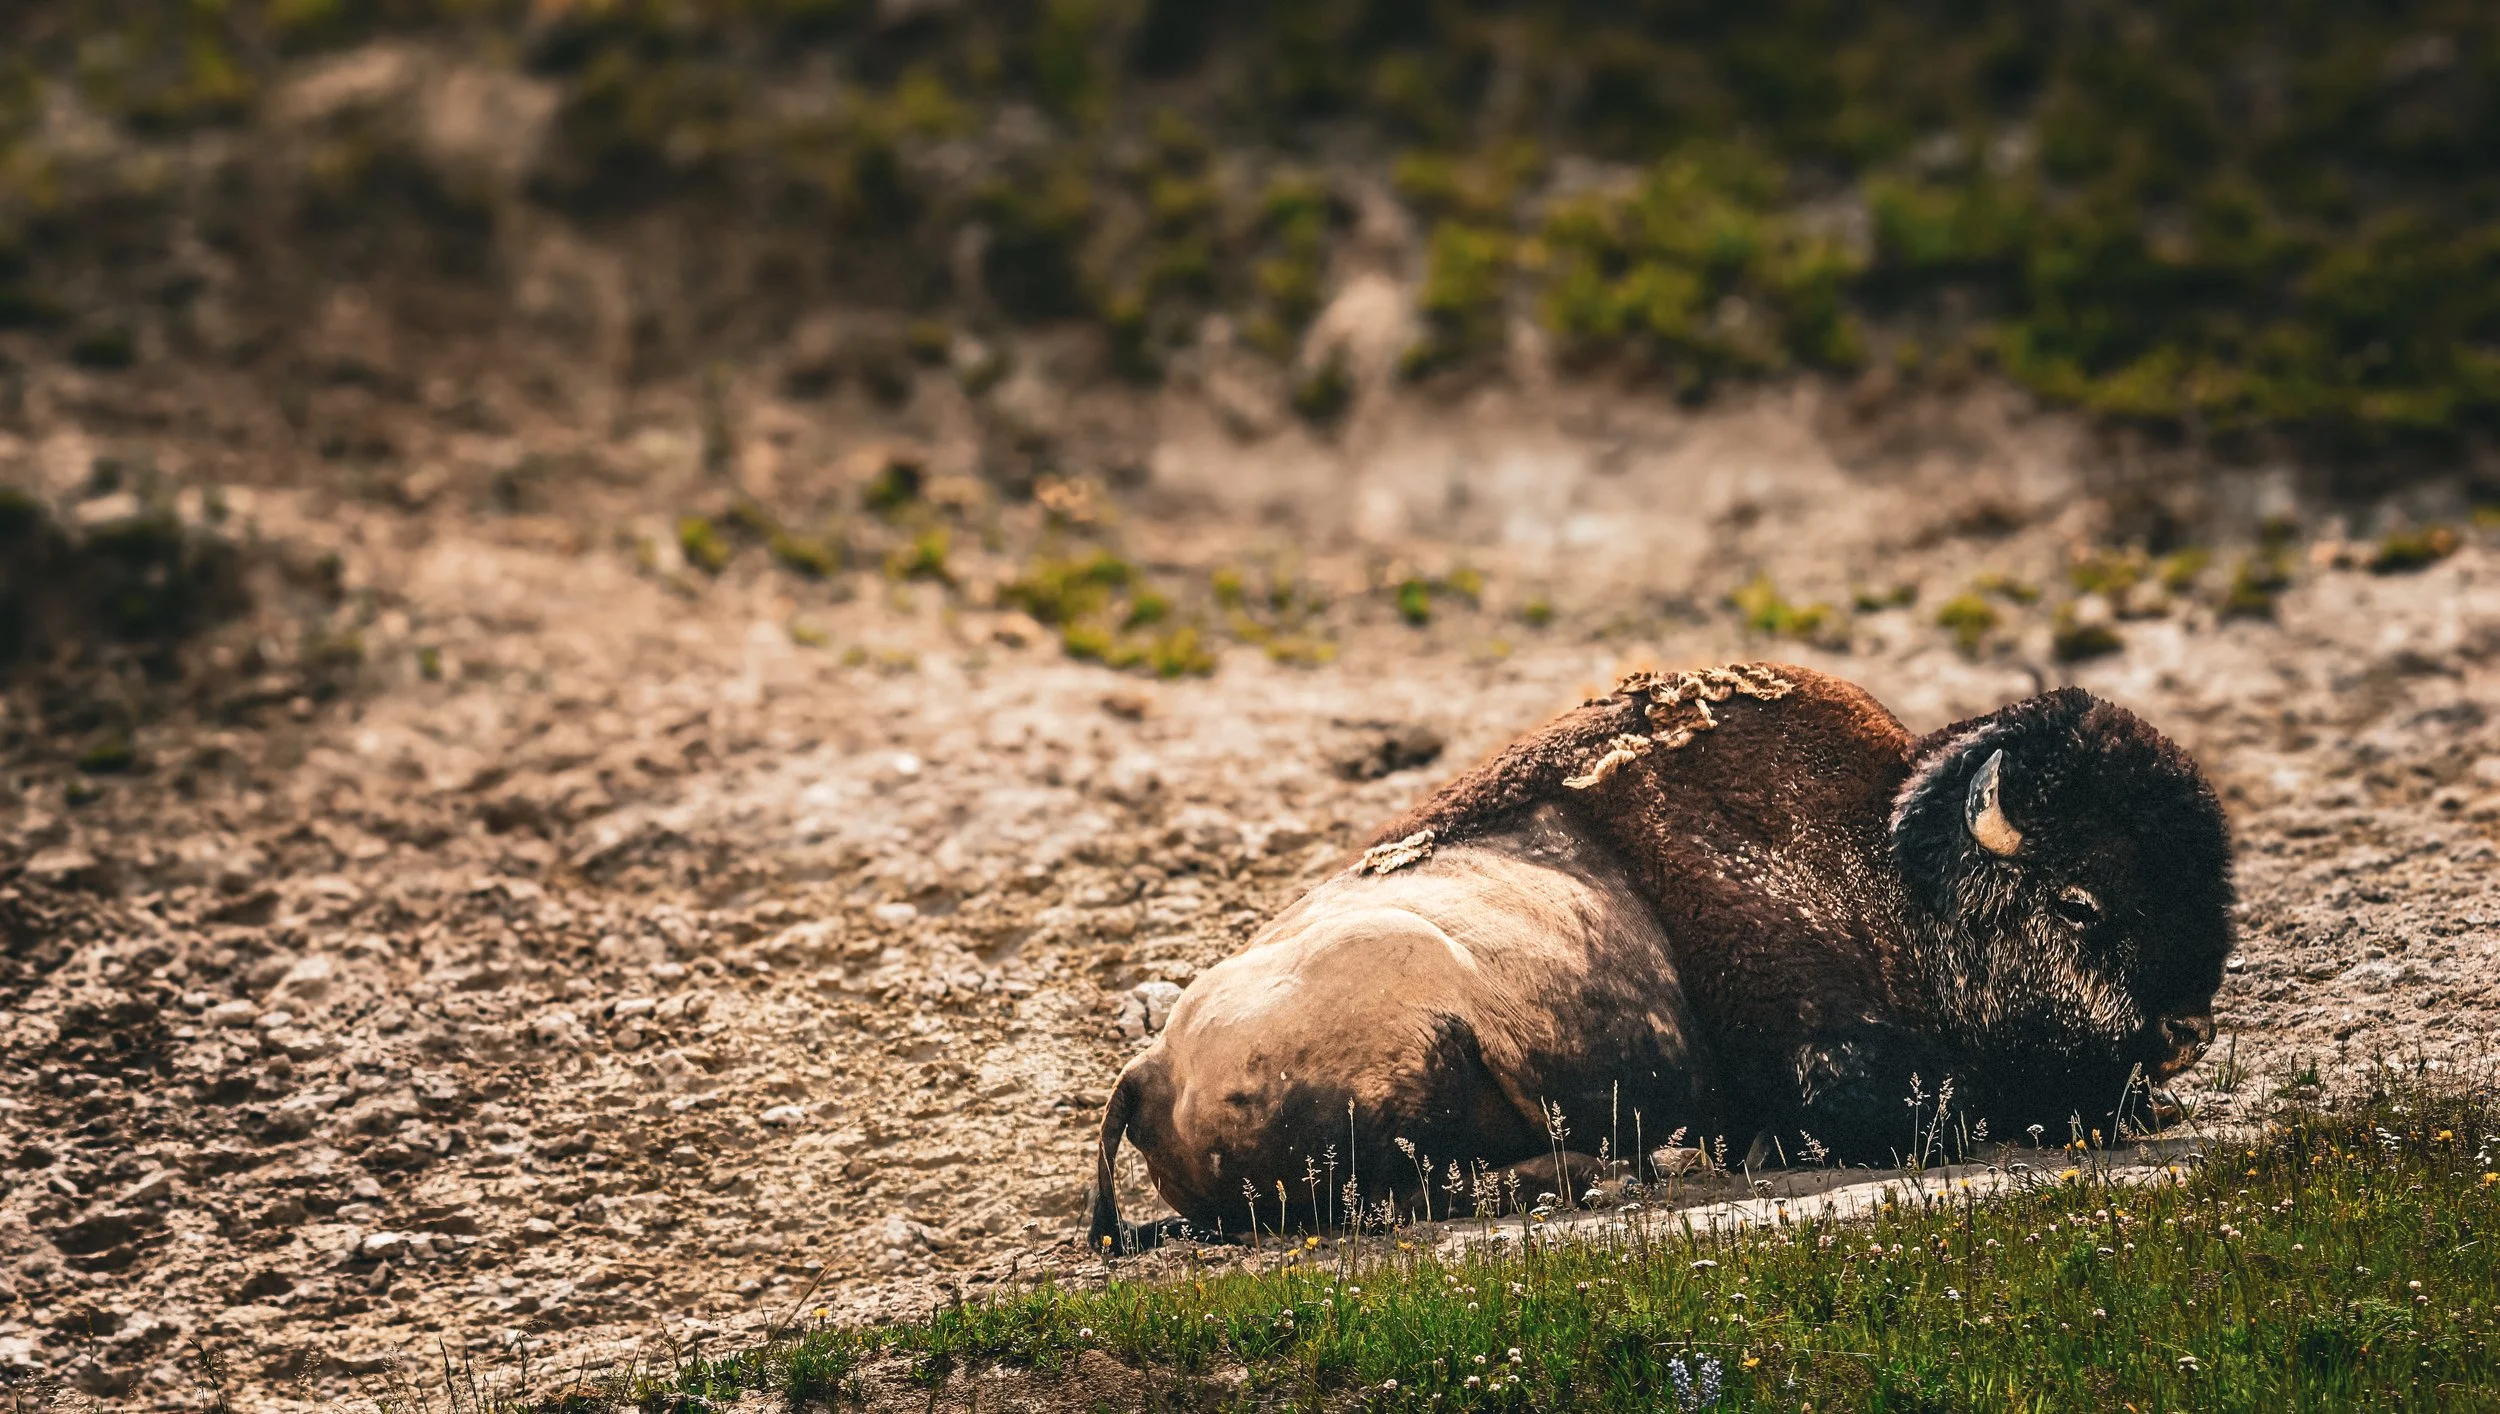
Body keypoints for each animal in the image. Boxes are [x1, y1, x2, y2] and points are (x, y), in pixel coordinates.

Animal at [1088, 664, 2233, 1248]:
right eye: (2081, 902)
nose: (2183, 1032)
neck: (1886, 867)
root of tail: (1148, 1068)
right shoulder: (1831, 1060)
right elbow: (1935, 1102)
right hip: (1420, 1032)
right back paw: (1622, 1171)